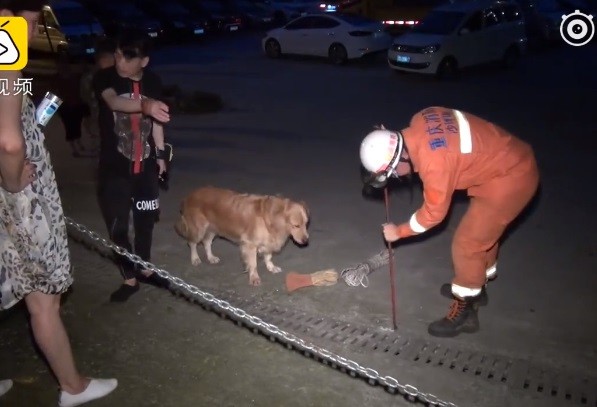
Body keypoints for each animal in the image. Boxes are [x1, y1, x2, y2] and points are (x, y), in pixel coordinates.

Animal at [175, 186, 310, 286]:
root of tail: (189, 196)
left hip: (213, 228)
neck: (271, 219)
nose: (306, 241)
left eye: (306, 224)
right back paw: (195, 258)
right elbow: (253, 263)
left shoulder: (268, 241)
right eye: (296, 225)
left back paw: (211, 257)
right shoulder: (250, 244)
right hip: (199, 229)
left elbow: (268, 256)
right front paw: (254, 277)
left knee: (207, 242)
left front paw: (271, 267)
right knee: (192, 243)